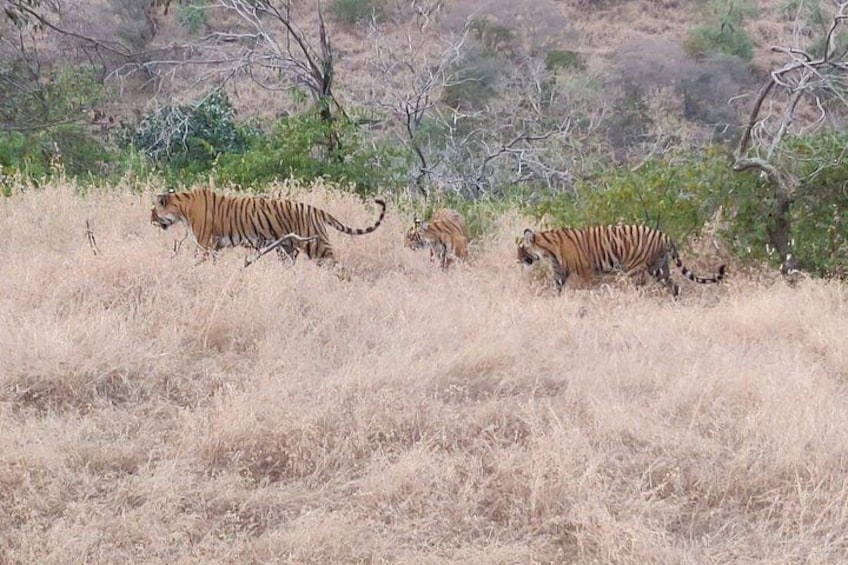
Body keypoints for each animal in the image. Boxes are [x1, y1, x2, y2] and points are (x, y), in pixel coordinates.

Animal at [150, 187, 386, 263]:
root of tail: (315, 209)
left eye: (153, 210)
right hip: (288, 249)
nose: (150, 220)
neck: (182, 208)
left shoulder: (205, 244)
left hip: (317, 247)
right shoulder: (215, 246)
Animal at [517, 225, 726, 297]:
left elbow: (588, 288)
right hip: (659, 268)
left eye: (521, 249)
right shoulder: (560, 273)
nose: (517, 260)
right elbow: (556, 289)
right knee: (674, 286)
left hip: (636, 269)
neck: (548, 249)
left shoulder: (585, 270)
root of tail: (664, 235)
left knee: (640, 289)